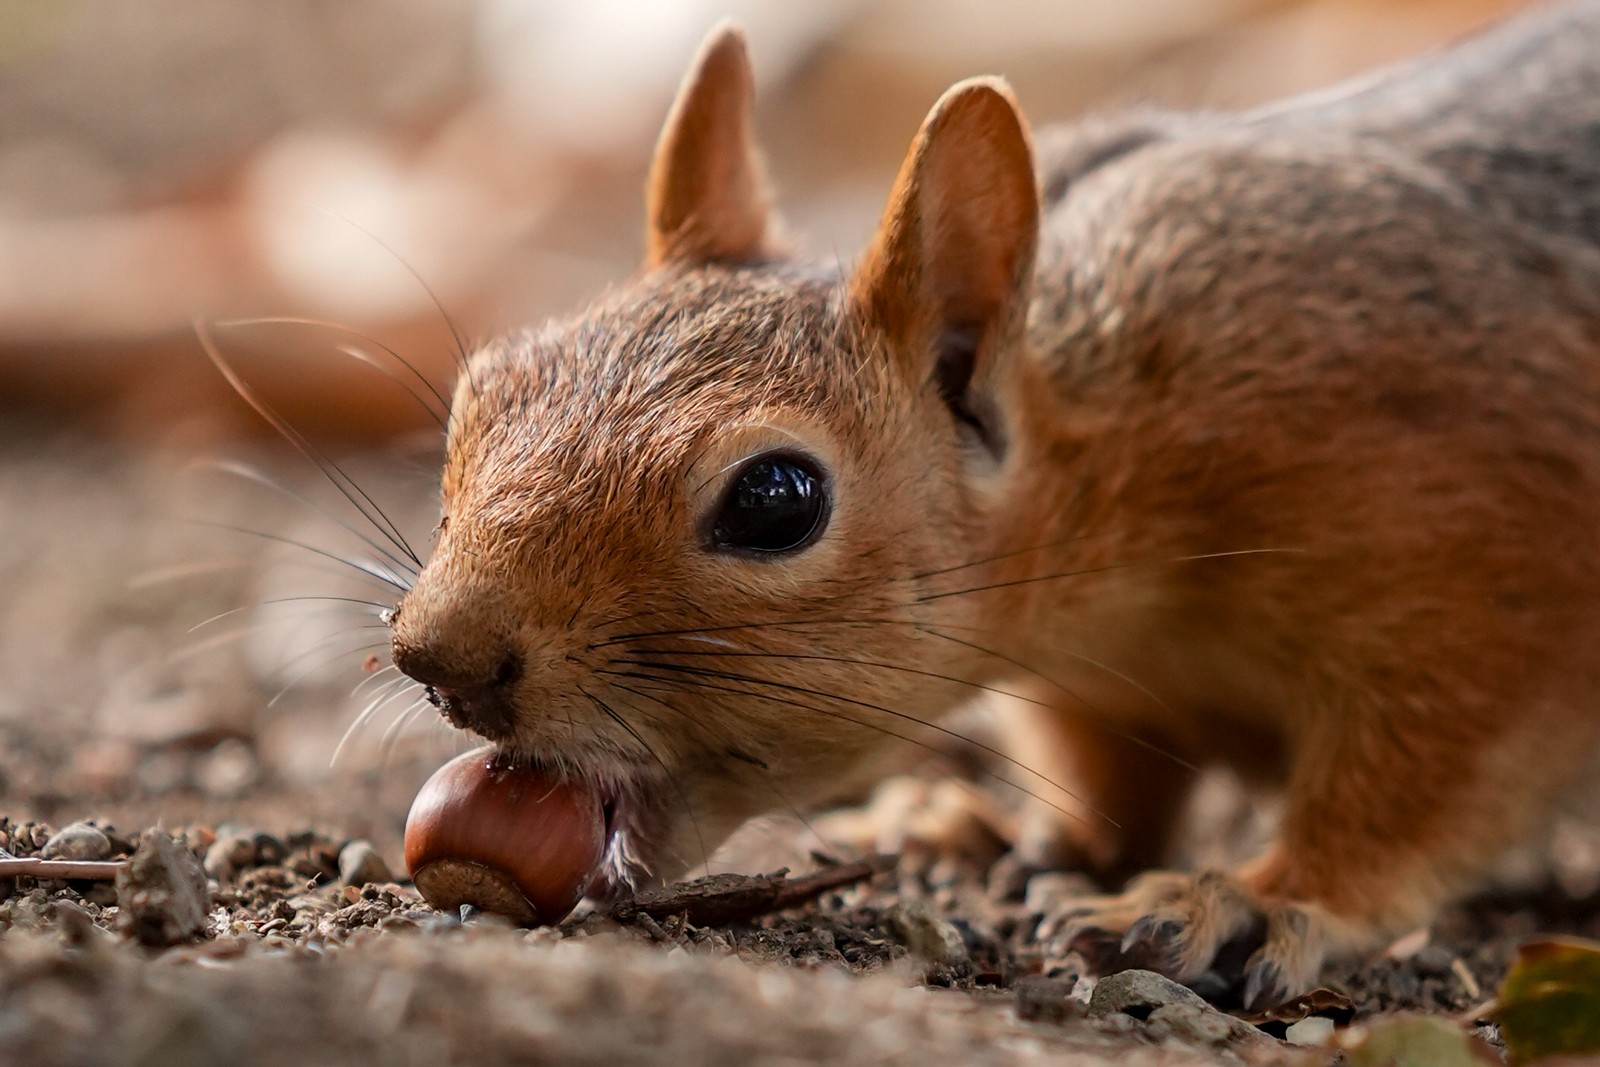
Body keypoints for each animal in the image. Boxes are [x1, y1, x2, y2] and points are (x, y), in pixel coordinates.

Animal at [387, 1, 1600, 1005]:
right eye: (484, 387)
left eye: (777, 499)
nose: (439, 658)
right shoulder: (1097, 688)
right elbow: (1106, 783)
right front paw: (978, 828)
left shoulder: (1487, 565)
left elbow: (1421, 780)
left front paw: (1251, 896)